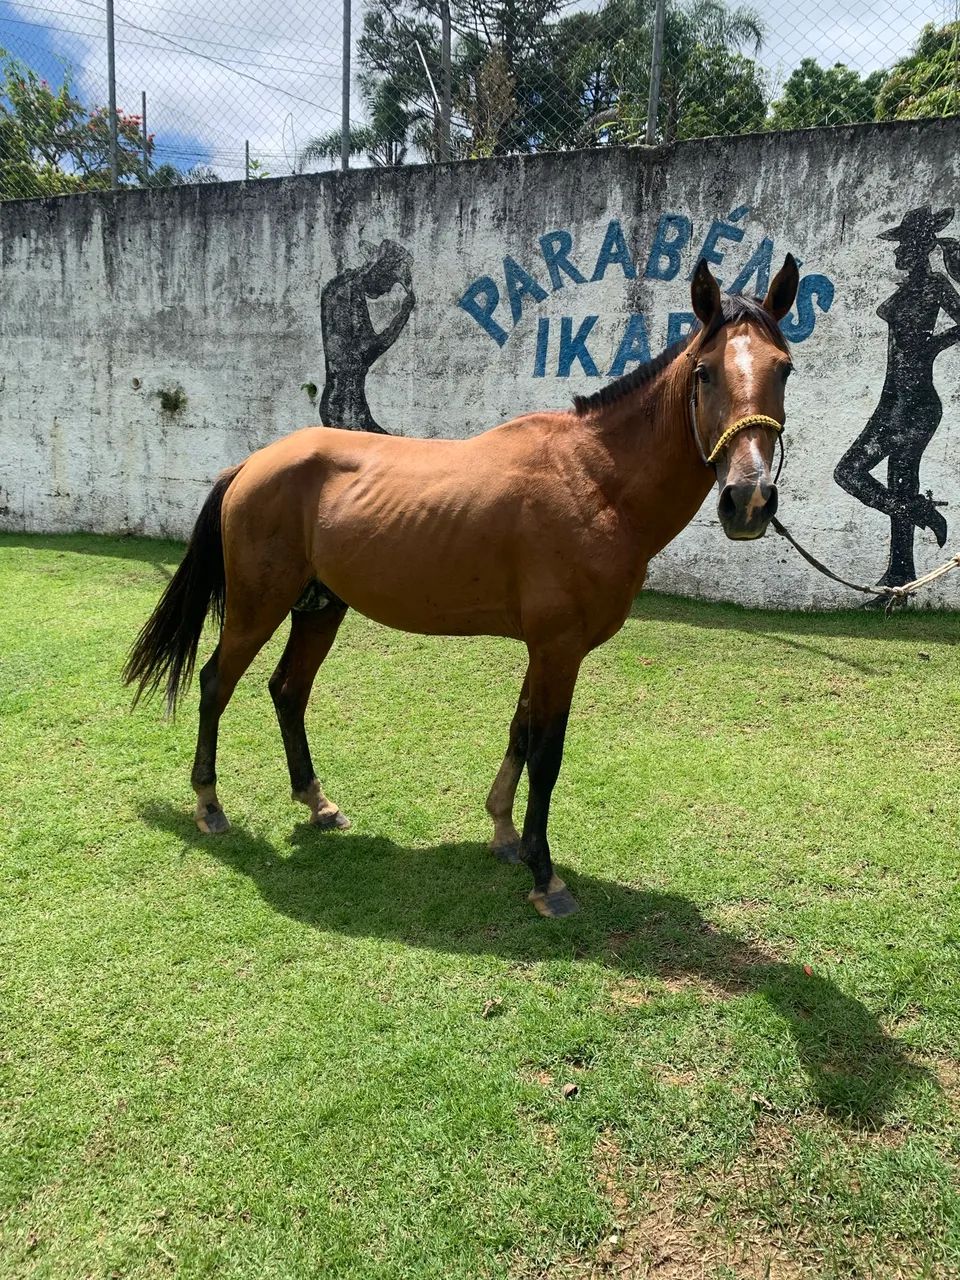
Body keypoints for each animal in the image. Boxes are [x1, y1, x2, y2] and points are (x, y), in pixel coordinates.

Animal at [124, 256, 799, 919]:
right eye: (705, 373)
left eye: (784, 369)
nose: (748, 500)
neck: (596, 480)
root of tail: (253, 463)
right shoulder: (559, 648)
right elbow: (547, 754)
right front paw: (544, 875)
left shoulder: (546, 648)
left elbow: (521, 733)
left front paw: (504, 834)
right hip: (256, 607)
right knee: (216, 683)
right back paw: (209, 805)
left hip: (320, 608)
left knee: (288, 691)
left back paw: (317, 802)